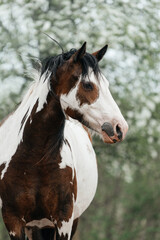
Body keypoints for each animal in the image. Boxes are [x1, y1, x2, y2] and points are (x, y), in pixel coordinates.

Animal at [0, 42, 127, 239]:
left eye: (106, 84)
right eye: (88, 85)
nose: (119, 128)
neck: (32, 158)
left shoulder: (64, 220)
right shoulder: (12, 220)